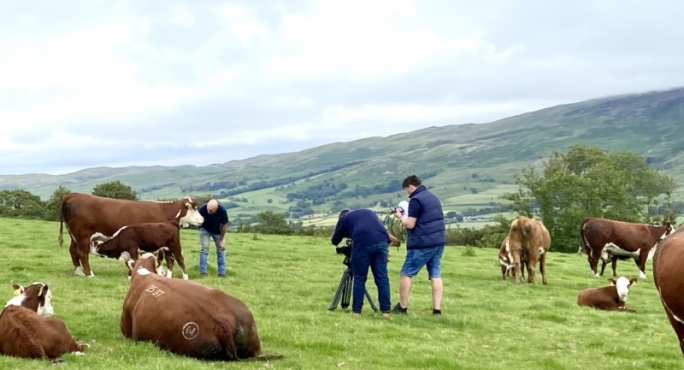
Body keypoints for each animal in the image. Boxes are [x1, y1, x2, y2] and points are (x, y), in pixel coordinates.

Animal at [57, 194, 203, 278]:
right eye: (195, 209)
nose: (202, 220)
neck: (164, 211)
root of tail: (73, 195)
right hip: (83, 236)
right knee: (82, 253)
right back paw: (90, 274)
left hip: (74, 236)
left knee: (73, 251)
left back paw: (79, 272)